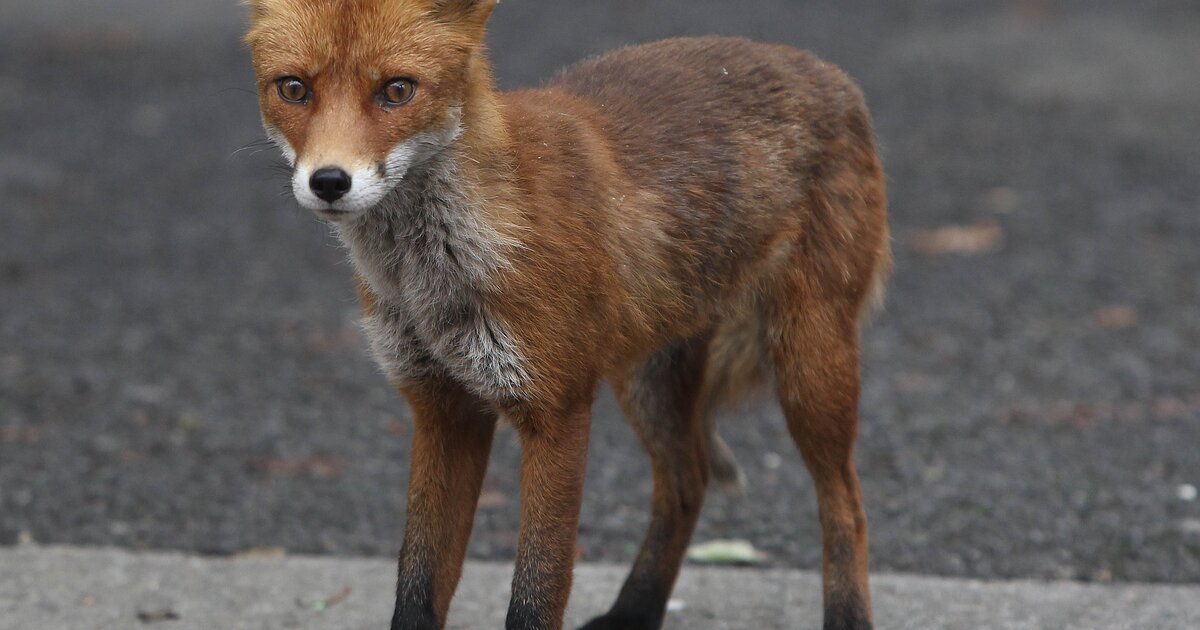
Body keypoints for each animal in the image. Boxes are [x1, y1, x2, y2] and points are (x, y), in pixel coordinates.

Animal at [246, 1, 892, 628]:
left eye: (397, 90)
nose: (330, 181)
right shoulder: (441, 407)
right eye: (294, 88)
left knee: (847, 504)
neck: (434, 276)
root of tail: (830, 72)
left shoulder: (557, 409)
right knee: (687, 484)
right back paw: (634, 612)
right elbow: (417, 583)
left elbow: (537, 592)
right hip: (648, 378)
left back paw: (846, 614)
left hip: (808, 368)